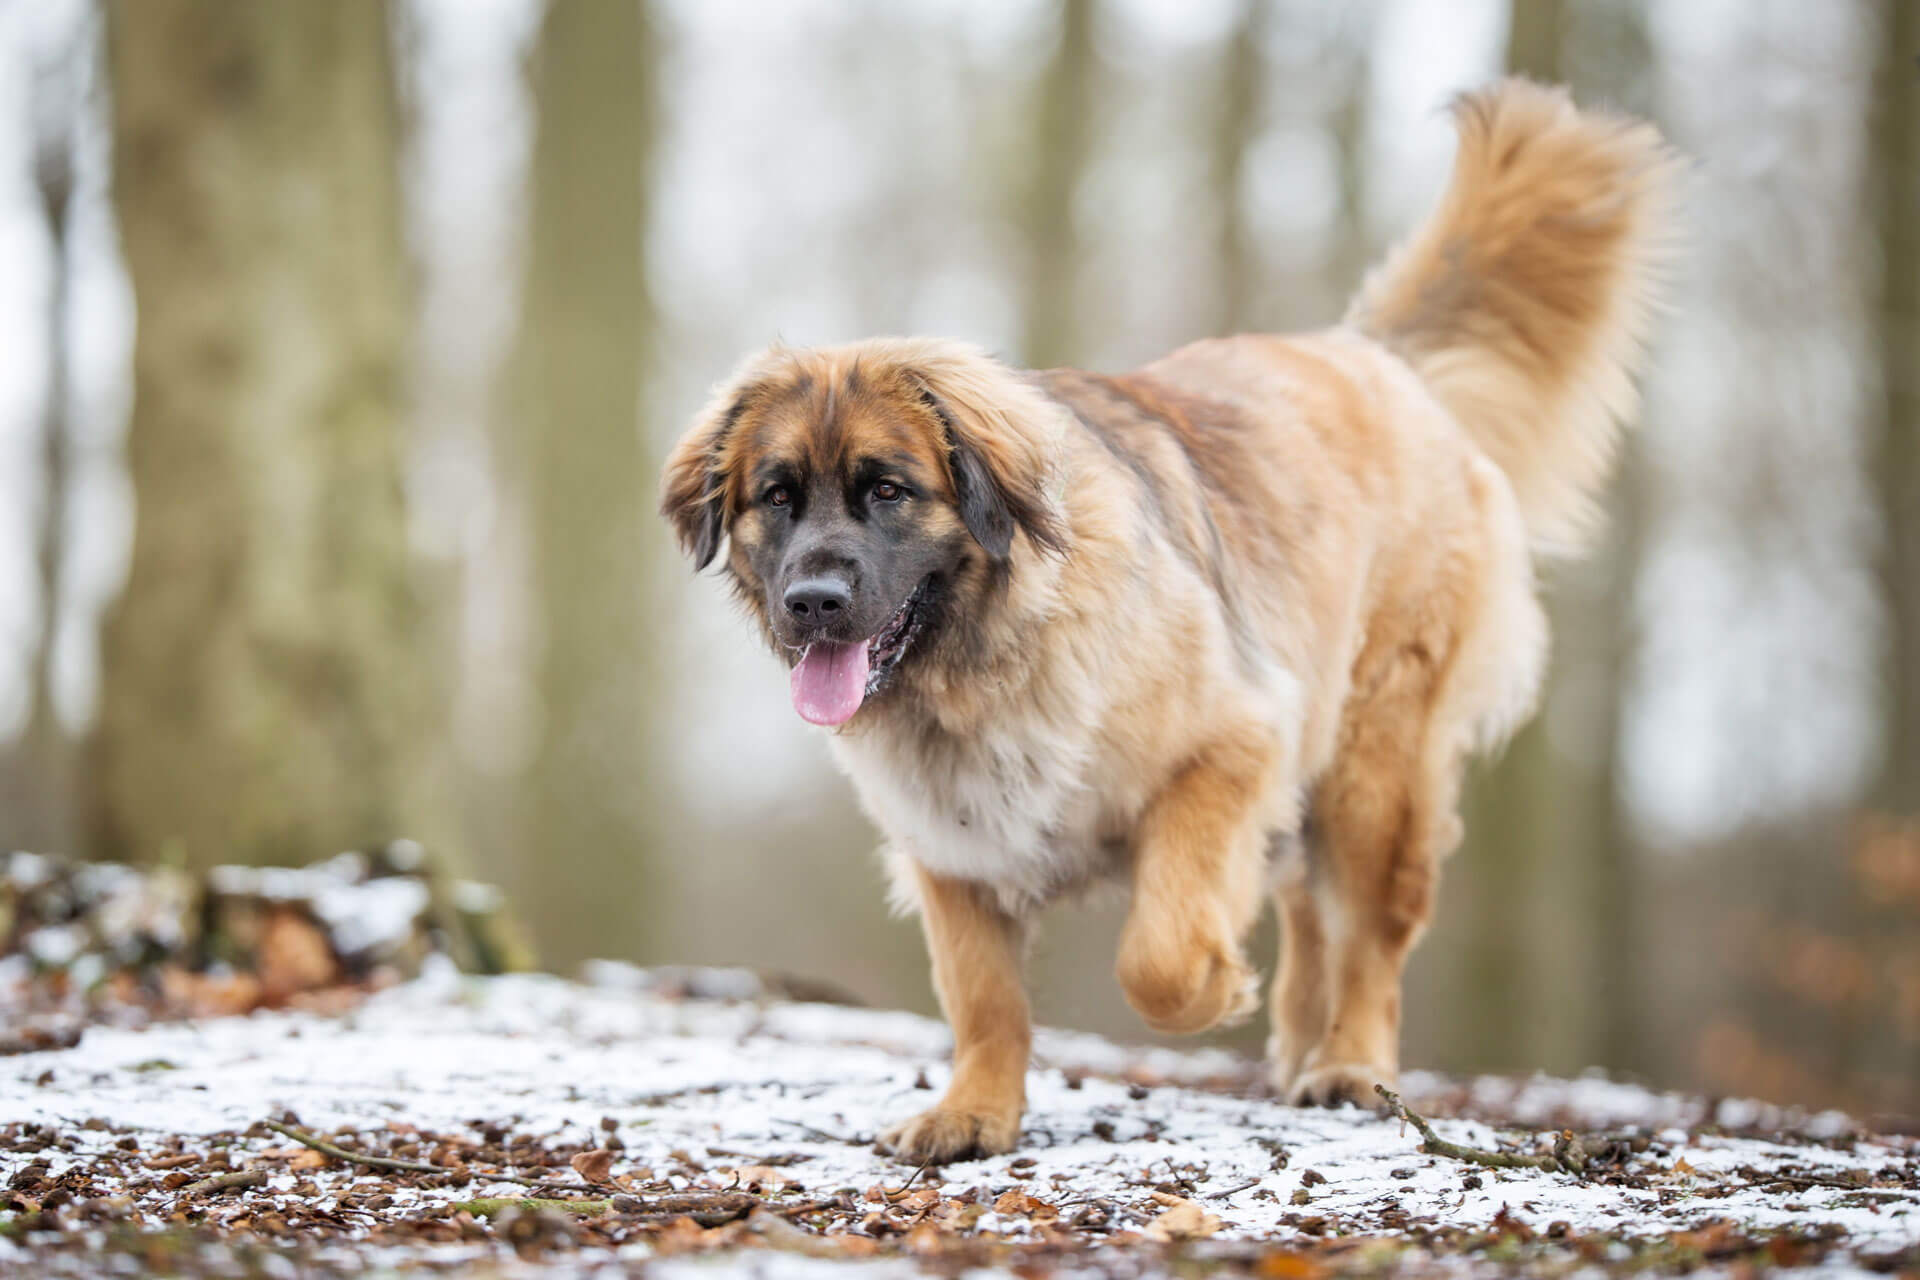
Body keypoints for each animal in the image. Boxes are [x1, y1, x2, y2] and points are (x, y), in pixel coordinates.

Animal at [664, 77, 1681, 1159]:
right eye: (777, 497)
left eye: (888, 490)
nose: (812, 600)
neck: (985, 662)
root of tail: (1370, 356)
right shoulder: (950, 848)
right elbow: (984, 997)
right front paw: (974, 1110)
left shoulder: (1226, 750)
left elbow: (1156, 953)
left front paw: (1215, 984)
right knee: (1312, 908)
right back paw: (1303, 1051)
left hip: (1375, 763)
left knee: (1368, 932)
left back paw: (1350, 1063)